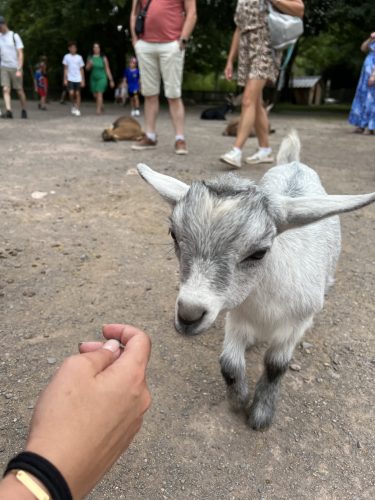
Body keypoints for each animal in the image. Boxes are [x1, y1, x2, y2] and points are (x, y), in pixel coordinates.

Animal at [137, 132, 375, 430]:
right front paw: (238, 401)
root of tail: (294, 163)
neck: (265, 306)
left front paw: (261, 413)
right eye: (173, 235)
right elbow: (229, 363)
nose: (188, 315)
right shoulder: (236, 316)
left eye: (259, 252)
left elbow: (275, 365)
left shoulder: (293, 324)